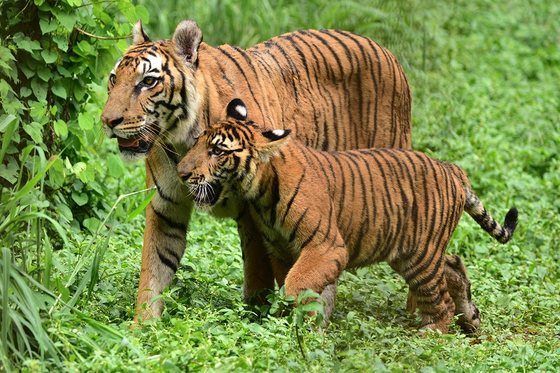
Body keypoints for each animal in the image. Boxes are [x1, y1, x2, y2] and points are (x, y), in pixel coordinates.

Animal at [99, 20, 412, 322]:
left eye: (148, 81)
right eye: (114, 79)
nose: (108, 121)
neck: (181, 139)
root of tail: (388, 52)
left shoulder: (255, 213)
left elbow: (258, 273)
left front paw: (256, 320)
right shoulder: (166, 208)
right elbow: (153, 271)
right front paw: (141, 327)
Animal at [177, 99, 520, 332]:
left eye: (217, 152)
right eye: (197, 142)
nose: (181, 173)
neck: (261, 191)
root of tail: (453, 169)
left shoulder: (326, 246)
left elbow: (296, 284)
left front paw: (298, 325)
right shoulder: (279, 248)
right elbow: (297, 282)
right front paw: (301, 324)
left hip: (420, 257)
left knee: (441, 301)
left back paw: (430, 334)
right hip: (413, 252)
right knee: (455, 264)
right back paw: (471, 318)